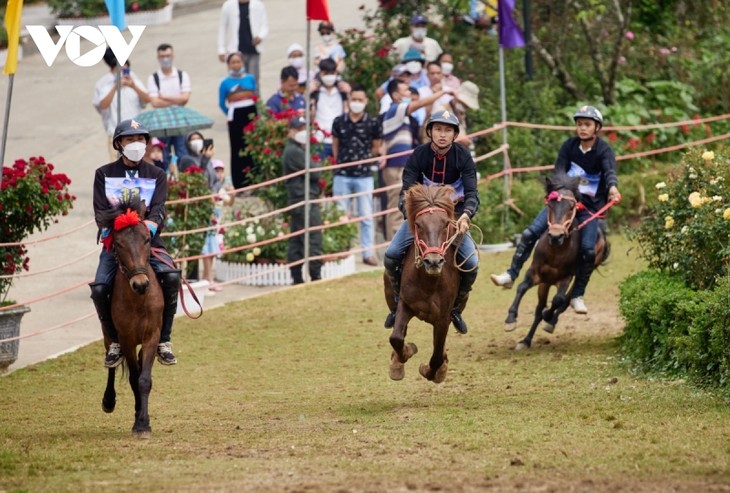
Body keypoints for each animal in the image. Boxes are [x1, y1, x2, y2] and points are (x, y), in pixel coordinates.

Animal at [96, 194, 164, 436]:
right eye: (118, 243)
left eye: (146, 239)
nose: (140, 284)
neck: (139, 301)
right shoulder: (125, 338)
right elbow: (134, 378)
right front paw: (139, 422)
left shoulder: (152, 335)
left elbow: (144, 379)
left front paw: (144, 422)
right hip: (109, 336)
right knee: (111, 364)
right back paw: (108, 401)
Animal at [382, 183, 460, 382]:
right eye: (418, 225)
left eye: (446, 224)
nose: (433, 261)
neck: (429, 283)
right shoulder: (405, 304)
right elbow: (396, 338)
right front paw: (406, 353)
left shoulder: (443, 318)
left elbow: (437, 355)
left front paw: (432, 371)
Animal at [500, 174, 608, 350]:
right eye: (549, 205)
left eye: (572, 206)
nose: (556, 236)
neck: (555, 253)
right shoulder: (535, 273)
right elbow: (522, 287)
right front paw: (510, 319)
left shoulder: (565, 278)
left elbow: (558, 300)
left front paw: (548, 317)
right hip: (545, 283)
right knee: (539, 309)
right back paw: (526, 340)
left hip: (582, 270)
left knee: (566, 300)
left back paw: (551, 321)